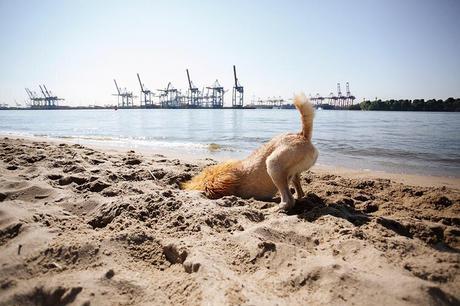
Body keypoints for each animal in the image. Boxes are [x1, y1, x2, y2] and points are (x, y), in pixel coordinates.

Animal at [181, 93, 318, 212]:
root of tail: (302, 135)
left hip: (273, 164)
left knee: (288, 201)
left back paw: (275, 209)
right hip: (291, 173)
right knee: (299, 192)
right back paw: (298, 198)